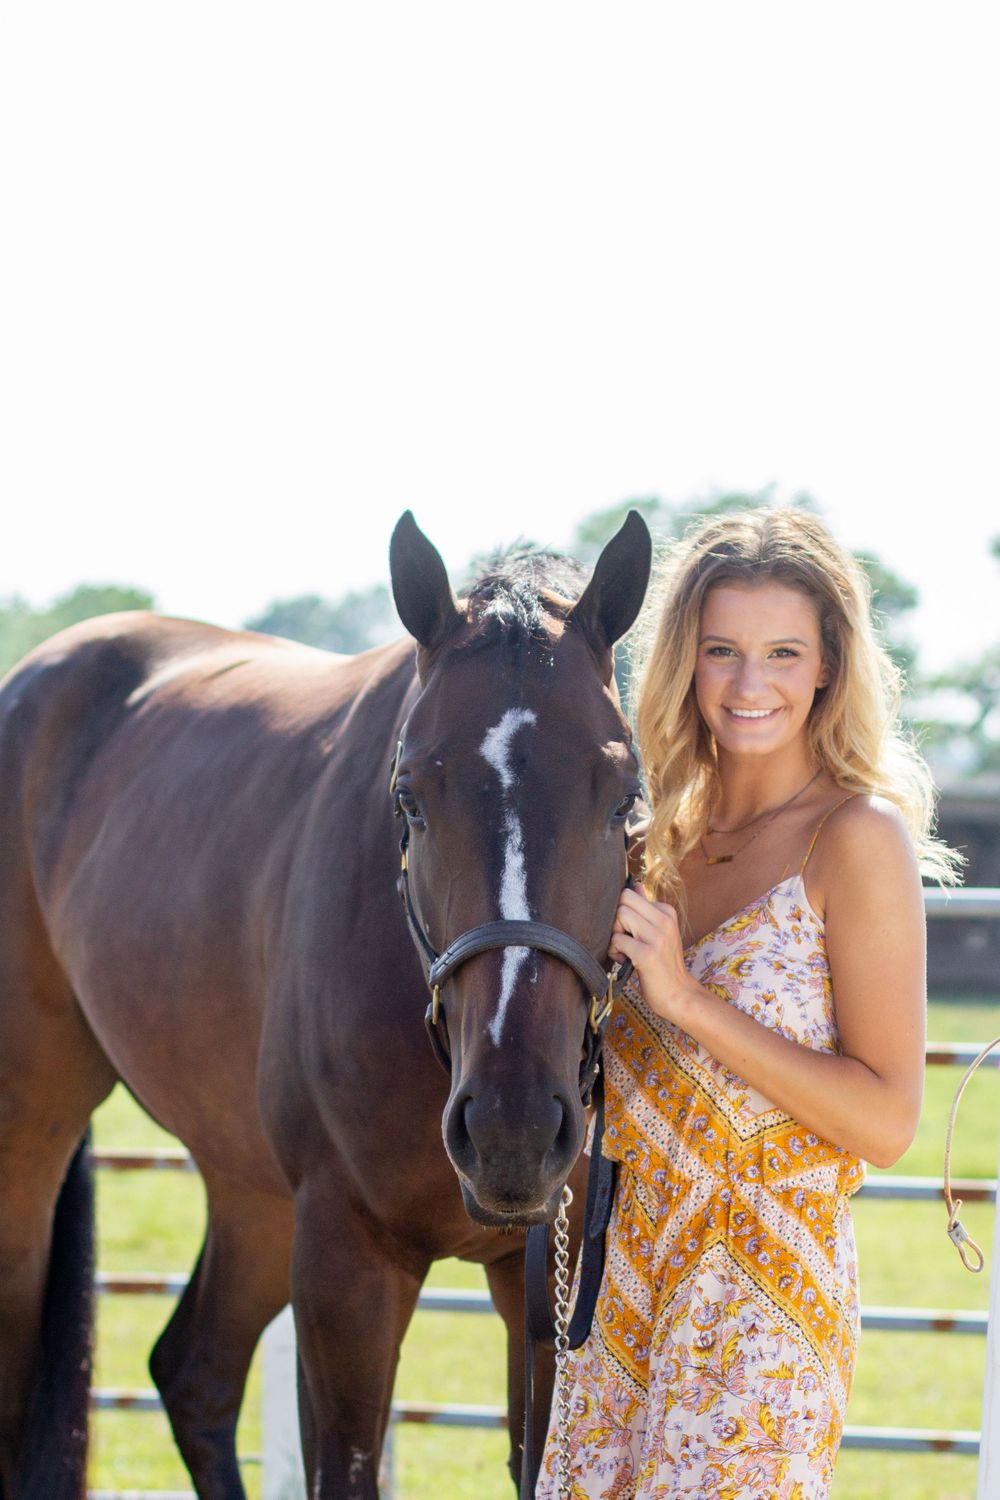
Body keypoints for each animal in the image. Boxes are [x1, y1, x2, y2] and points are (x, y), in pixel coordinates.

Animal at [0, 509, 651, 1499]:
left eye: (624, 801)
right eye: (409, 798)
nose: (513, 1130)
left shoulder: (539, 1280)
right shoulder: (347, 1266)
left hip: (250, 1191)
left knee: (194, 1373)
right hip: (32, 1139)